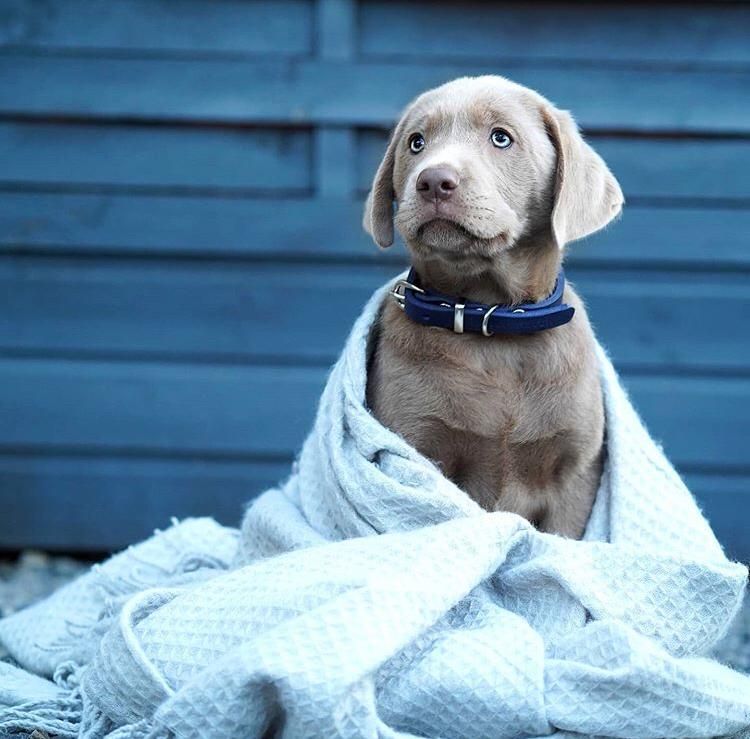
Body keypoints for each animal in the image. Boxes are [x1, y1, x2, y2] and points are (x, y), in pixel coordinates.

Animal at [364, 76, 624, 536]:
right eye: (416, 143)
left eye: (501, 138)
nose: (433, 180)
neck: (490, 318)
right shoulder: (410, 452)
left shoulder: (576, 477)